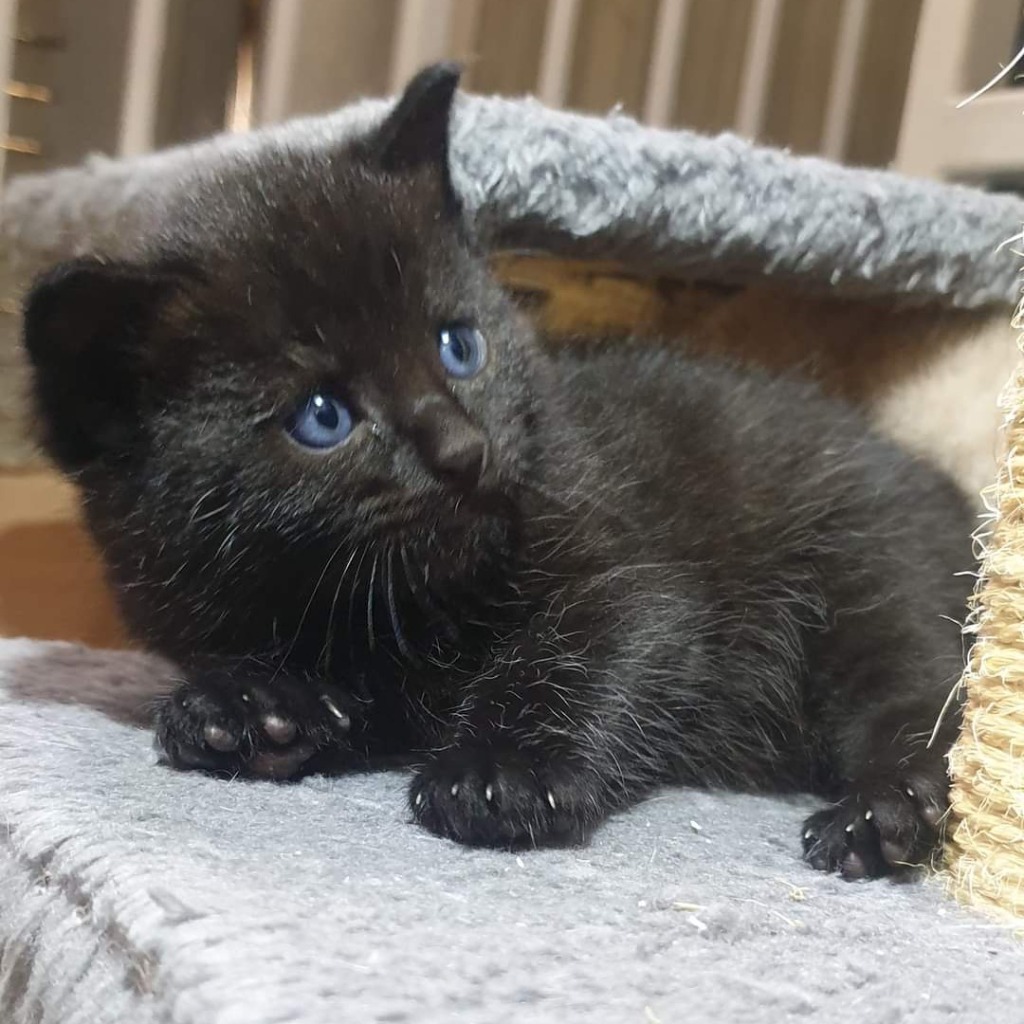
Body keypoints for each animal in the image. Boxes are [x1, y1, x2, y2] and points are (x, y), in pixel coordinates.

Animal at [23, 64, 973, 878]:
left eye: (459, 346)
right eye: (323, 416)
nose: (463, 450)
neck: (386, 605)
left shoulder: (628, 571)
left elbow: (599, 639)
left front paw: (504, 769)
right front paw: (243, 705)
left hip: (873, 574)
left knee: (922, 698)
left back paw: (883, 810)